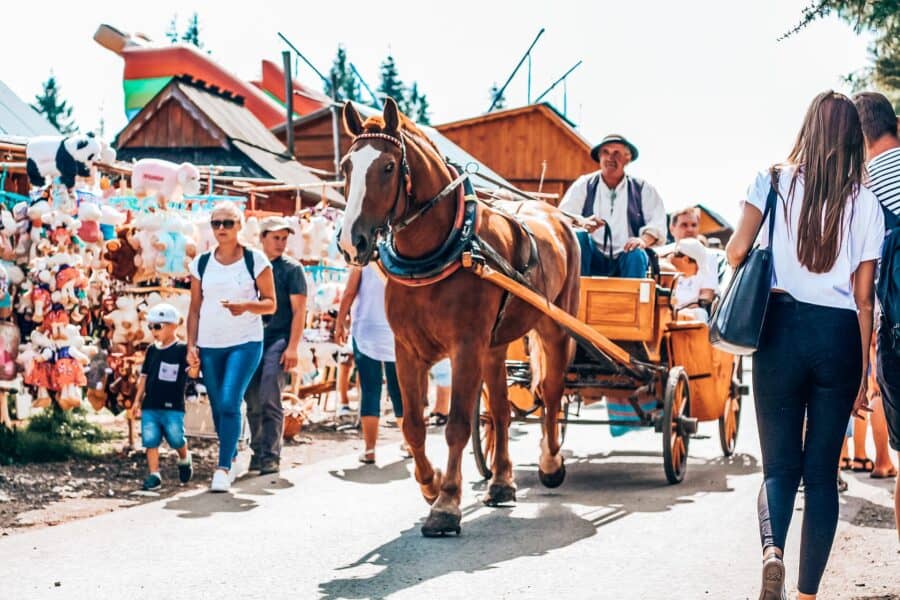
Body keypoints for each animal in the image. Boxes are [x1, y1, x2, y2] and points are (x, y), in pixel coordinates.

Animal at [340, 99, 584, 540]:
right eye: (347, 165)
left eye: (387, 166)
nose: (352, 242)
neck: (442, 249)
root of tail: (553, 214)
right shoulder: (407, 350)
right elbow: (413, 426)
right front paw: (430, 484)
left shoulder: (465, 348)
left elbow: (454, 424)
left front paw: (447, 504)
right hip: (495, 345)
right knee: (501, 410)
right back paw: (501, 481)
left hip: (555, 326)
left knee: (552, 392)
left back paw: (550, 462)